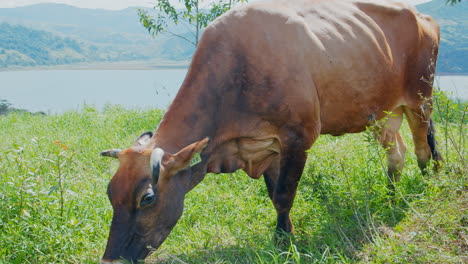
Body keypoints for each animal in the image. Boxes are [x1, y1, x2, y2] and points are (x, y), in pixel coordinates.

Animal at [100, 0, 440, 262]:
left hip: (420, 98)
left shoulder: (298, 138)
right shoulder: (266, 147)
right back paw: (391, 197)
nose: (111, 260)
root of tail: (421, 15)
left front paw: (282, 242)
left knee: (423, 148)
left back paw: (427, 186)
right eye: (110, 192)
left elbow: (284, 194)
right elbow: (274, 194)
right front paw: (284, 234)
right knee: (397, 155)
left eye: (147, 198)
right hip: (382, 113)